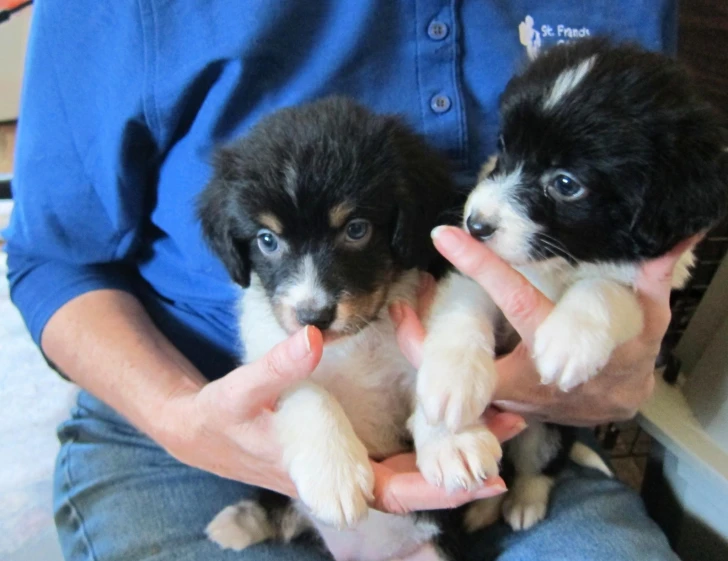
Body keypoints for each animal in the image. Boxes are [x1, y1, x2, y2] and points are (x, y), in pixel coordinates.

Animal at [196, 97, 490, 560]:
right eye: (267, 240)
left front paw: (453, 440)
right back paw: (238, 522)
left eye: (356, 230)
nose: (312, 317)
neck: (354, 341)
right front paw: (333, 475)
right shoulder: (270, 357)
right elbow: (307, 390)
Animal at [418, 38, 728, 528]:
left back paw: (522, 502)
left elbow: (604, 290)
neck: (558, 262)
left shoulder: (654, 290)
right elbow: (462, 313)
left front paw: (569, 338)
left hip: (548, 428)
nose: (476, 224)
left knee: (539, 464)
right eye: (504, 146)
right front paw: (451, 391)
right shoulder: (472, 269)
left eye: (566, 184)